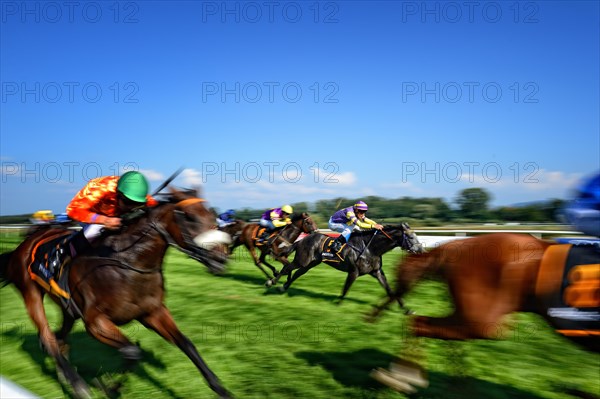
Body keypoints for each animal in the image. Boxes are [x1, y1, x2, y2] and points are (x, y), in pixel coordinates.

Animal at [0, 188, 233, 399]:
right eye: (190, 217)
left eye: (212, 216)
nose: (220, 260)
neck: (129, 263)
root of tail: (24, 244)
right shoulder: (95, 322)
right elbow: (132, 352)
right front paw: (108, 387)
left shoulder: (152, 312)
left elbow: (186, 344)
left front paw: (220, 388)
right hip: (30, 293)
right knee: (48, 338)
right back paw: (78, 385)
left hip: (68, 309)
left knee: (59, 339)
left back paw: (65, 375)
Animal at [264, 225, 424, 306]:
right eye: (411, 237)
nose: (421, 250)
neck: (370, 248)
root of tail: (301, 240)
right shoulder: (353, 271)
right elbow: (346, 288)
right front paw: (338, 303)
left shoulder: (377, 272)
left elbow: (390, 290)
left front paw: (406, 309)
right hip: (302, 260)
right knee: (287, 268)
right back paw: (271, 282)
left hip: (311, 263)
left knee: (297, 273)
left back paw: (283, 287)